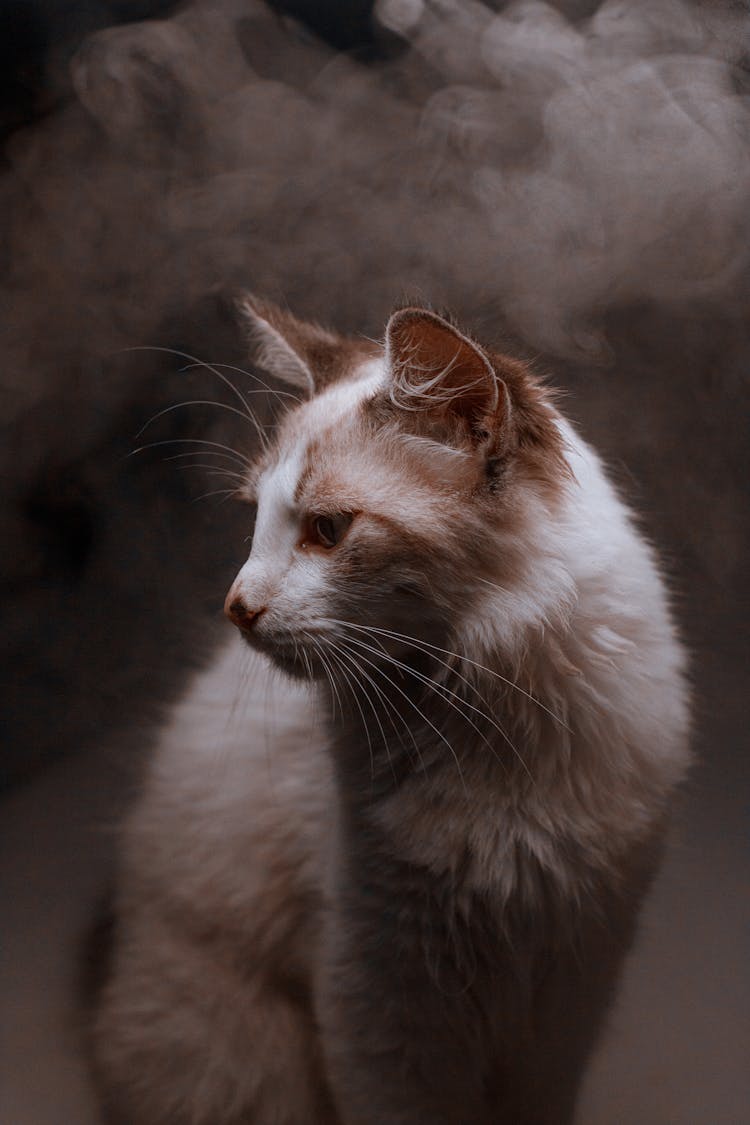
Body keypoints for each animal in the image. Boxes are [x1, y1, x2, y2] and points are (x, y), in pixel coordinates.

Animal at [88, 297, 692, 1125]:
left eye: (327, 530)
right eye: (254, 519)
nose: (236, 607)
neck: (487, 727)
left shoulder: (567, 986)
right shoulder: (387, 994)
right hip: (242, 1051)